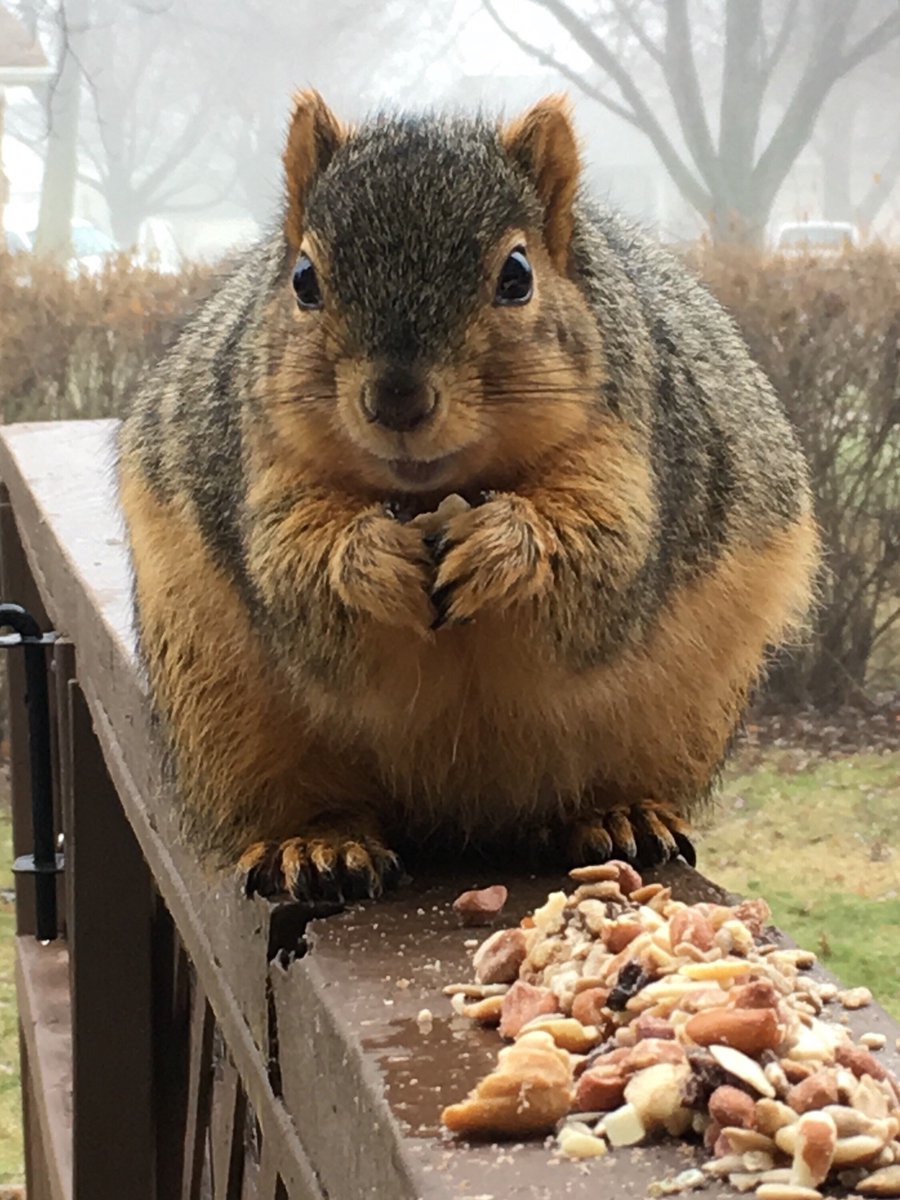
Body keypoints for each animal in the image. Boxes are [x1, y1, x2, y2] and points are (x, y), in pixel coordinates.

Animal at [117, 91, 819, 904]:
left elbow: (601, 557)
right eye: (303, 279)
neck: (434, 491)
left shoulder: (637, 449)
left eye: (517, 274)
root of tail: (463, 819)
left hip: (680, 713)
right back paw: (319, 841)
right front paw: (371, 558)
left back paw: (618, 814)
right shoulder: (260, 466)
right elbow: (294, 566)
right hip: (223, 711)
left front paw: (502, 548)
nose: (397, 399)